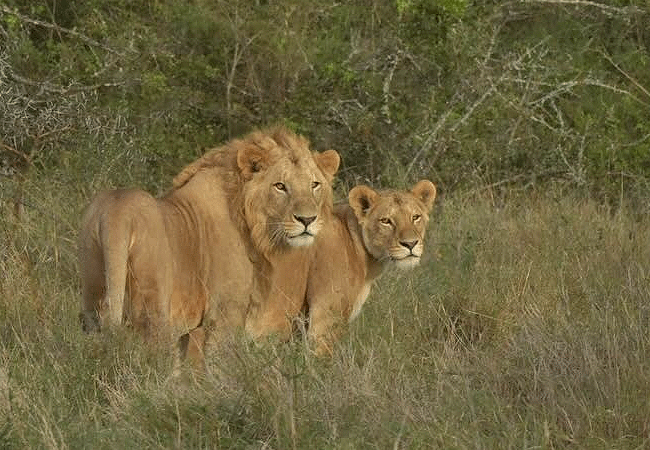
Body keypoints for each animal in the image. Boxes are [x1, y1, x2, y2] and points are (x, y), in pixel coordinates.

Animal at [78, 126, 340, 368]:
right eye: (280, 186)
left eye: (314, 184)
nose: (307, 220)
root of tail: (116, 213)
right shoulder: (225, 314)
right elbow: (218, 365)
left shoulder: (186, 328)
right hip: (153, 312)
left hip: (93, 300)